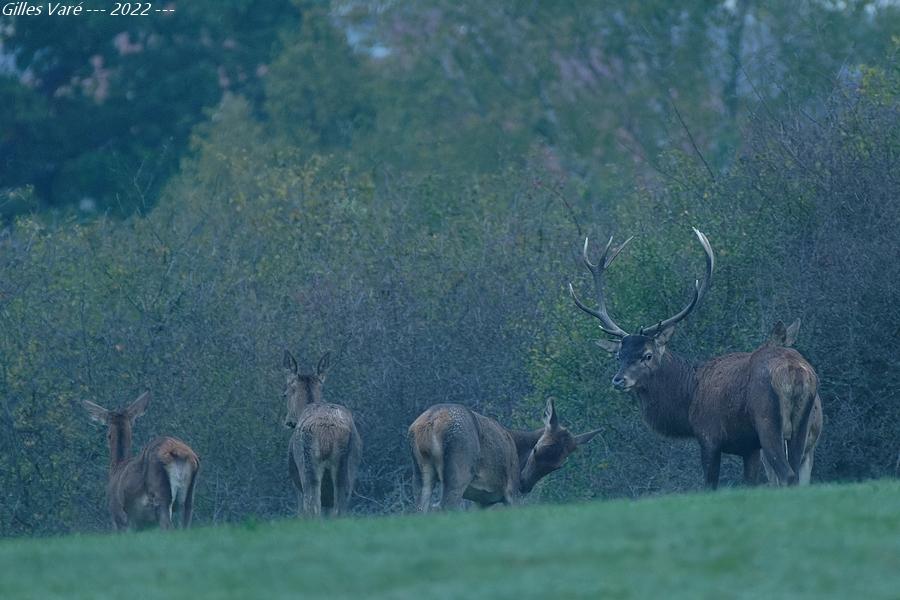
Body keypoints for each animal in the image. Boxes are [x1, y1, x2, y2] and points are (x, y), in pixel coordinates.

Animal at [82, 394, 199, 528]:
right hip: (188, 497)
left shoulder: (119, 517)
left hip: (160, 495)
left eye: (108, 434)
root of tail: (178, 452)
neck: (117, 467)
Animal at [284, 350, 362, 516]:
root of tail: (328, 432)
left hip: (307, 465)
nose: (288, 421)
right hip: (348, 468)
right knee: (340, 507)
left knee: (312, 507)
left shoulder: (296, 483)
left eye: (285, 394)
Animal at [412, 398, 600, 510]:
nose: (524, 484)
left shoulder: (483, 500)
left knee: (421, 507)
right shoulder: (510, 490)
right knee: (444, 506)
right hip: (460, 468)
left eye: (558, 466)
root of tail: (431, 422)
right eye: (536, 449)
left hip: (422, 472)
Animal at [568, 229, 824, 488]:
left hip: (767, 420)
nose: (618, 380)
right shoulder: (749, 447)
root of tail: (795, 371)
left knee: (788, 475)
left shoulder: (709, 435)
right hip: (802, 428)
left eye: (647, 355)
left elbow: (710, 485)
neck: (688, 399)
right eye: (619, 355)